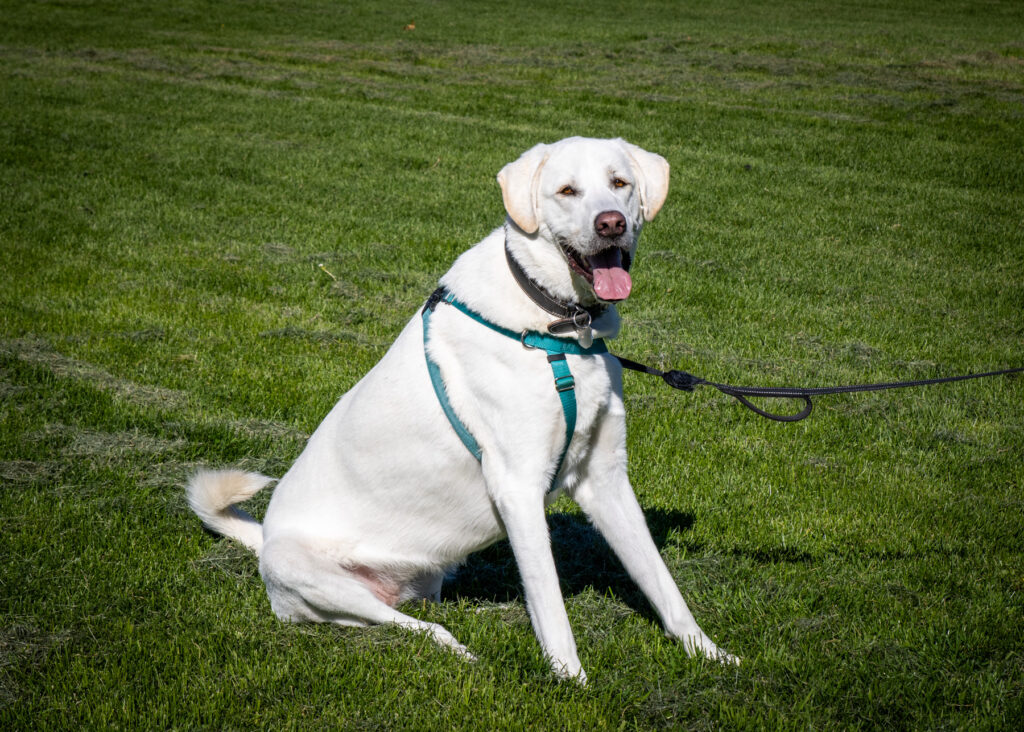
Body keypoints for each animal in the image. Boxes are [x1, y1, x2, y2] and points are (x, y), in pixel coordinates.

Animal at [190, 136, 737, 679]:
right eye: (567, 191)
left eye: (619, 183)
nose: (611, 223)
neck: (559, 330)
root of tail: (263, 541)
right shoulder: (518, 487)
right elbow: (550, 602)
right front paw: (571, 680)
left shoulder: (605, 479)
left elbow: (662, 583)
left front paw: (709, 654)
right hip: (313, 576)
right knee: (419, 628)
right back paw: (460, 650)